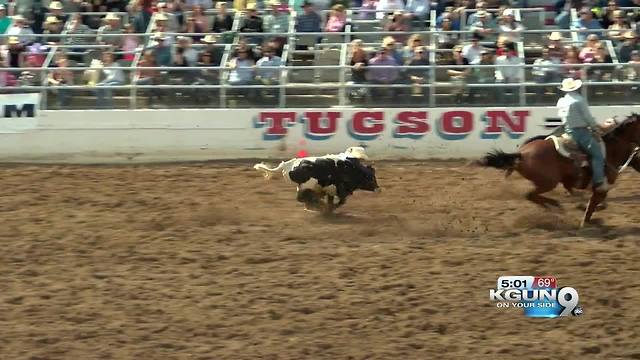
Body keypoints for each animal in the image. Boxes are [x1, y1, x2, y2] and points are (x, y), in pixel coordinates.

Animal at [251, 148, 380, 212]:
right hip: (306, 185)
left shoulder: (330, 190)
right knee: (302, 197)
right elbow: (341, 201)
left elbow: (332, 200)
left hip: (303, 186)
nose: (378, 188)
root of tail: (288, 164)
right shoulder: (339, 189)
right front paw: (329, 209)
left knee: (303, 197)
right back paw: (316, 205)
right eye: (371, 178)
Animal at [476, 114, 640, 226]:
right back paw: (556, 206)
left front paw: (582, 208)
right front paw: (586, 220)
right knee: (530, 195)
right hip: (548, 182)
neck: (611, 149)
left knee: (532, 196)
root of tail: (522, 154)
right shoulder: (601, 186)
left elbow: (594, 202)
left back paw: (554, 206)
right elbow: (593, 205)